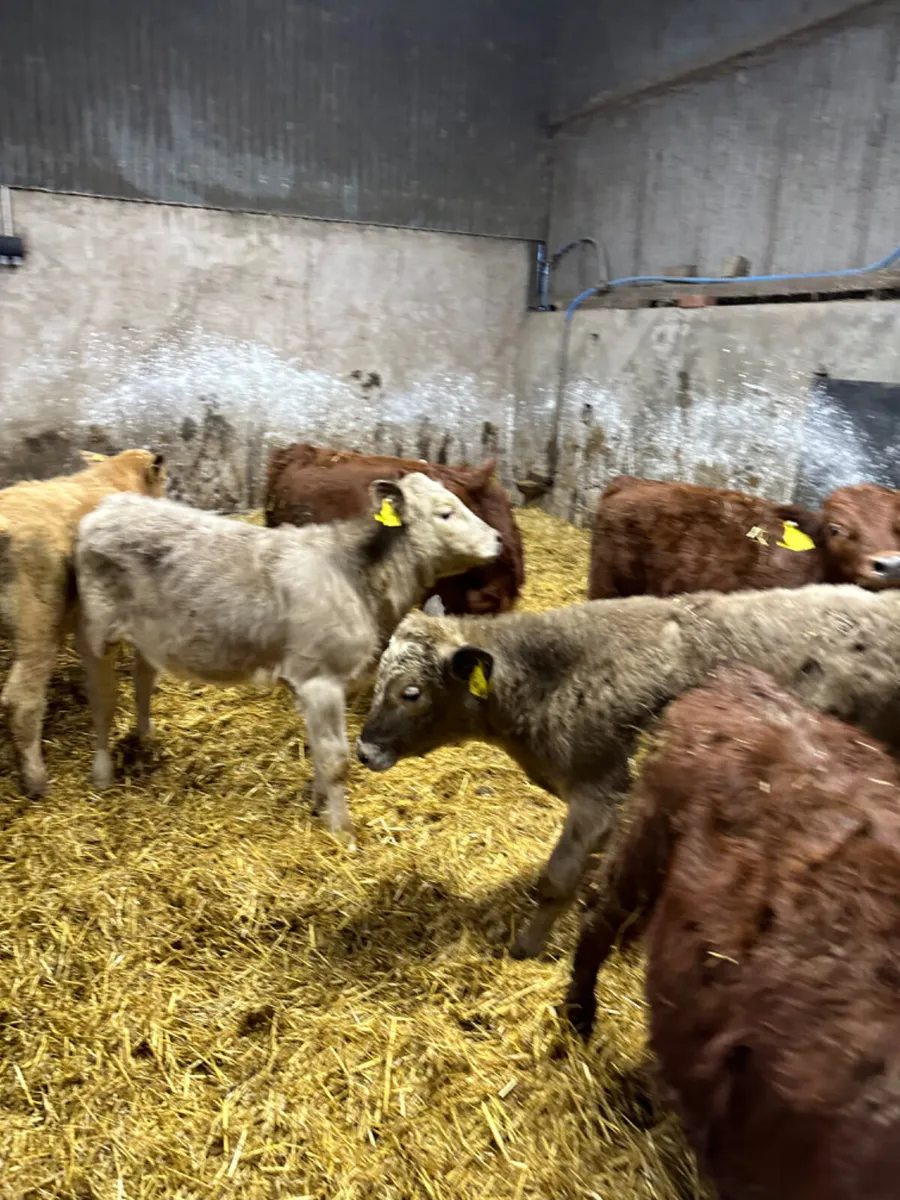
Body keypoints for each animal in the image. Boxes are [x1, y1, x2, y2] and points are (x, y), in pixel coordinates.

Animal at [74, 473, 500, 845]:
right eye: (446, 512)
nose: (498, 538)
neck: (355, 578)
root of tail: (108, 506)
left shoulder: (313, 684)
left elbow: (319, 752)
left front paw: (318, 804)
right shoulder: (320, 680)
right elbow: (335, 759)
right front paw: (343, 833)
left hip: (148, 634)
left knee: (142, 679)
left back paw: (145, 737)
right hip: (96, 632)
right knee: (102, 700)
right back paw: (102, 773)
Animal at [356, 583, 900, 958]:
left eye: (411, 692)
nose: (363, 749)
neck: (555, 678)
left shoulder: (600, 795)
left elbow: (556, 881)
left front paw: (526, 949)